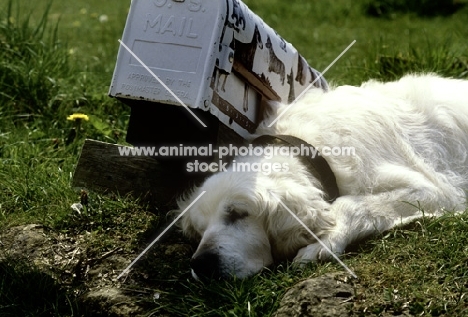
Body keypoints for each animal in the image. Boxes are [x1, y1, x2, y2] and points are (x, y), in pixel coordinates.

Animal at [176, 74, 468, 278]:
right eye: (200, 230)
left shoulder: (433, 191)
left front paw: (323, 242)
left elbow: (352, 204)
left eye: (238, 214)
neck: (311, 145)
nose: (200, 264)